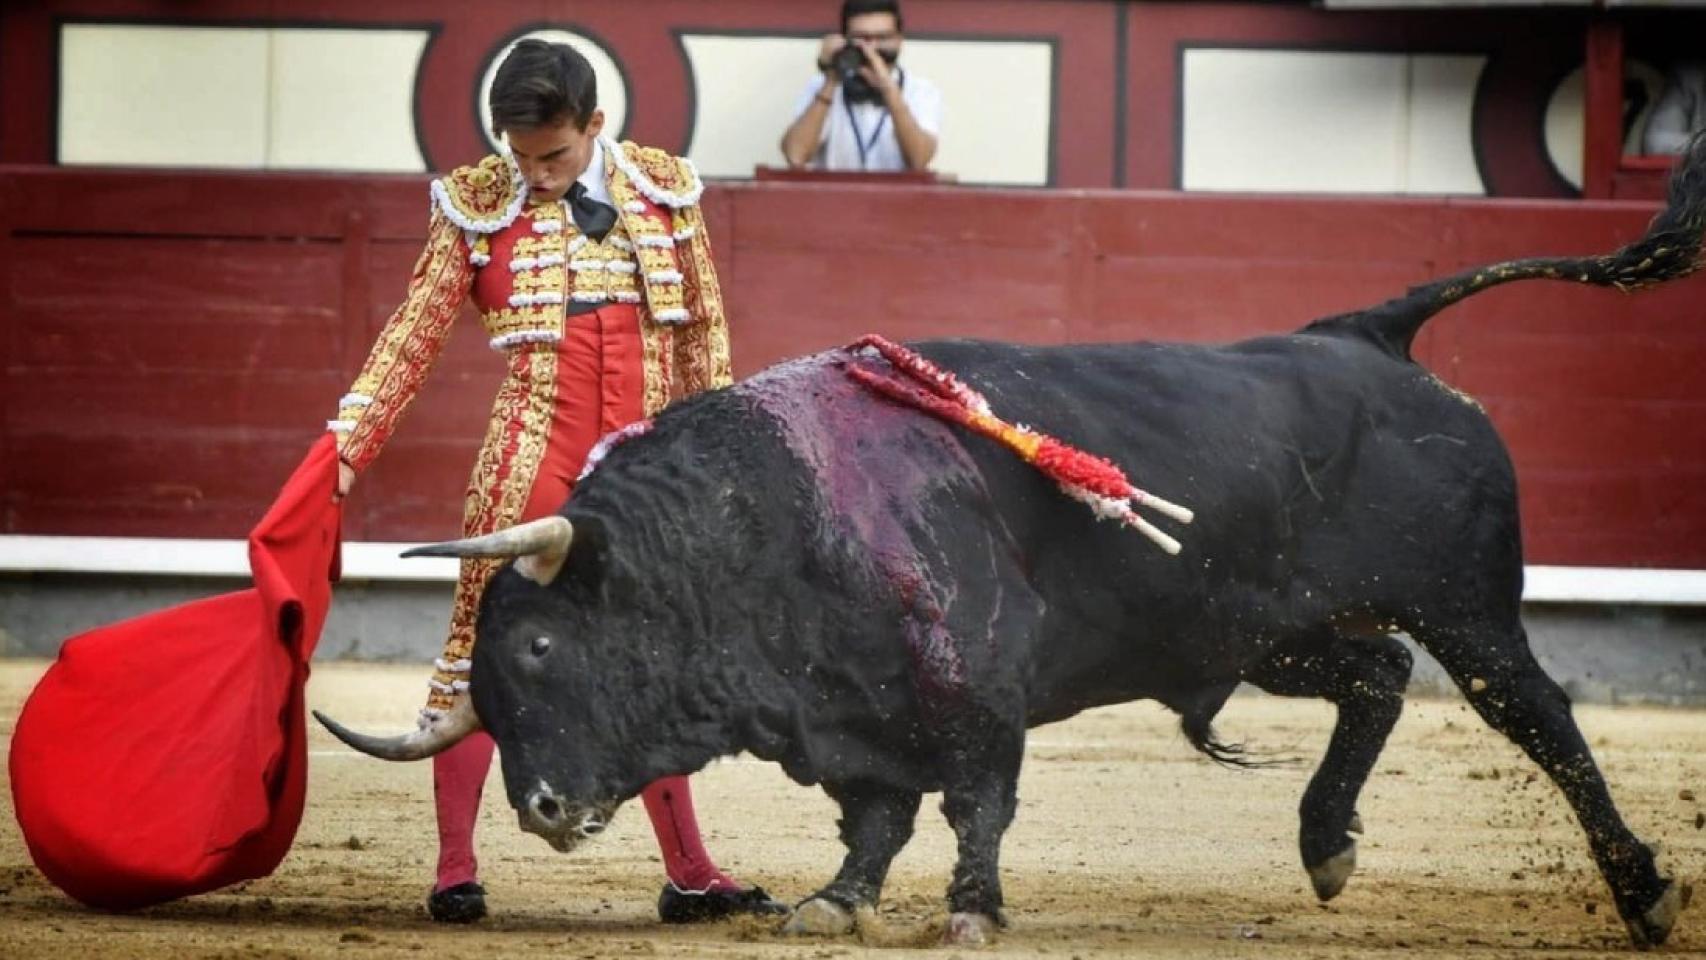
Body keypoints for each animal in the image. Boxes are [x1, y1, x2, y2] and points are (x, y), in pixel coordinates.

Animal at [322, 133, 1706, 948]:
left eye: (541, 647)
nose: (545, 809)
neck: (752, 530)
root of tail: (1367, 334)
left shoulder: (972, 689)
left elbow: (975, 799)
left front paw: (971, 913)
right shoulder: (851, 717)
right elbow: (875, 819)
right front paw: (835, 905)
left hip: (1467, 610)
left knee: (1541, 719)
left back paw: (1639, 894)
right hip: (1257, 629)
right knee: (1372, 678)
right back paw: (1324, 849)